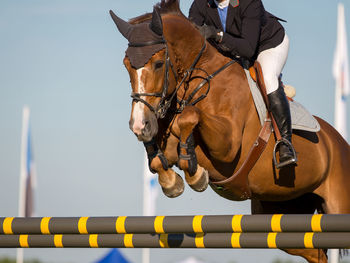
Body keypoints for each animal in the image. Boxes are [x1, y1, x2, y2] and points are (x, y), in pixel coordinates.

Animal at [110, 1, 350, 262]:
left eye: (158, 63)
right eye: (126, 66)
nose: (139, 125)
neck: (202, 80)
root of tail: (340, 143)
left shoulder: (228, 147)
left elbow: (188, 117)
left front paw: (193, 172)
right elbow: (162, 152)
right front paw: (173, 179)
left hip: (336, 203)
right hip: (281, 211)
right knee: (317, 253)